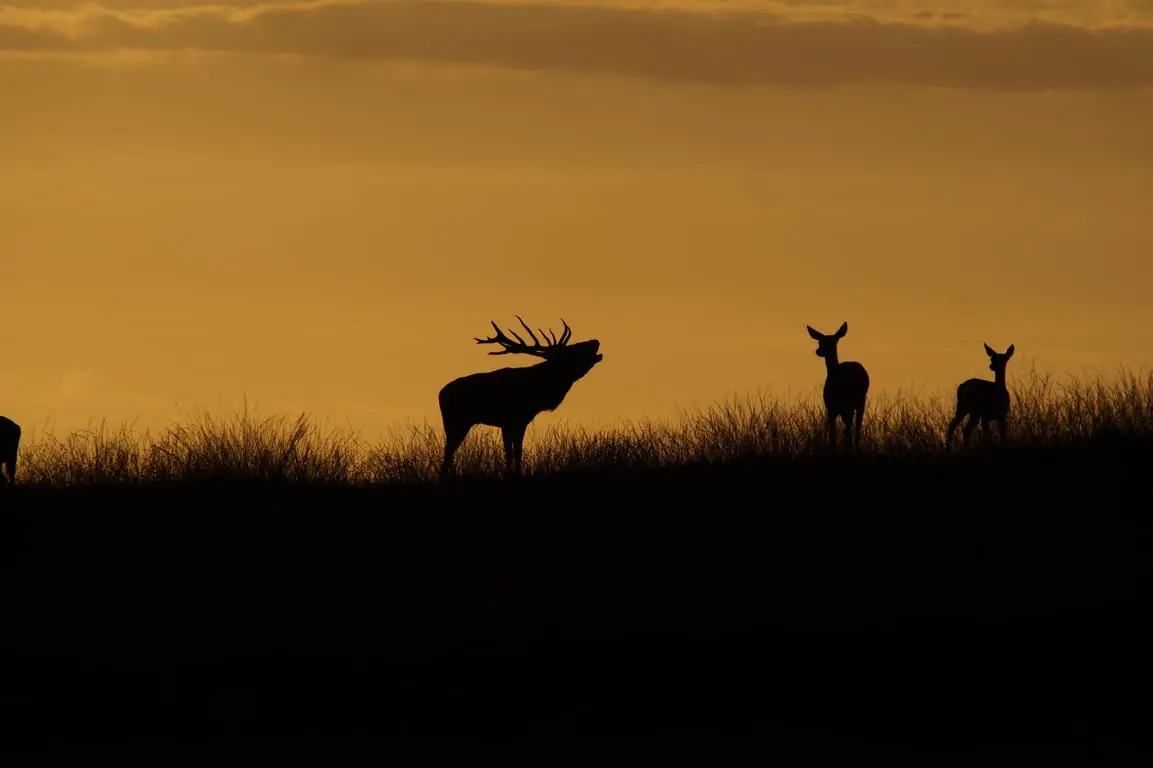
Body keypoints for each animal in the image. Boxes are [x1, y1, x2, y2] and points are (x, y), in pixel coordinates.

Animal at [438, 316, 603, 479]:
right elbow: (515, 452)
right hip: (456, 421)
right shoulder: (513, 420)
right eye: (571, 351)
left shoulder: (514, 422)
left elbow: (512, 453)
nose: (595, 341)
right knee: (448, 451)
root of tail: (440, 394)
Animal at [806, 321, 870, 453]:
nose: (818, 351)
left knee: (853, 426)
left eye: (832, 341)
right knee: (854, 426)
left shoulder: (831, 405)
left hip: (853, 401)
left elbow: (834, 436)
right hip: (857, 401)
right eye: (819, 342)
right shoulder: (835, 407)